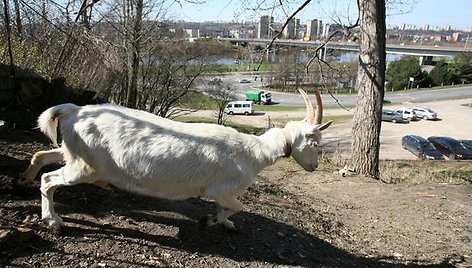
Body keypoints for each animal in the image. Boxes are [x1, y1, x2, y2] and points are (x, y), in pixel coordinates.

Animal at [20, 89, 330, 230]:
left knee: (43, 155)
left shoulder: (222, 192)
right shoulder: (222, 188)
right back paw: (53, 220)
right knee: (49, 180)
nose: (313, 167)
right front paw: (212, 221)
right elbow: (236, 206)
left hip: (74, 154)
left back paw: (24, 179)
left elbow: (228, 209)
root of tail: (73, 111)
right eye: (315, 143)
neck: (254, 152)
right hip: (85, 167)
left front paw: (223, 223)